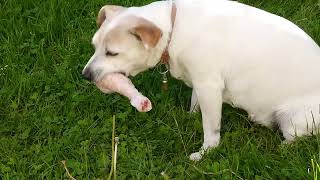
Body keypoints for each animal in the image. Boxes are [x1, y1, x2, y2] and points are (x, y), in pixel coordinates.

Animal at [82, 0, 320, 160]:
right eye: (94, 46)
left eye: (112, 53)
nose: (85, 75)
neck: (173, 28)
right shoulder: (200, 82)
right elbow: (195, 105)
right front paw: (189, 117)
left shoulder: (209, 86)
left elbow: (211, 128)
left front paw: (206, 152)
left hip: (294, 119)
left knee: (297, 139)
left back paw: (281, 149)